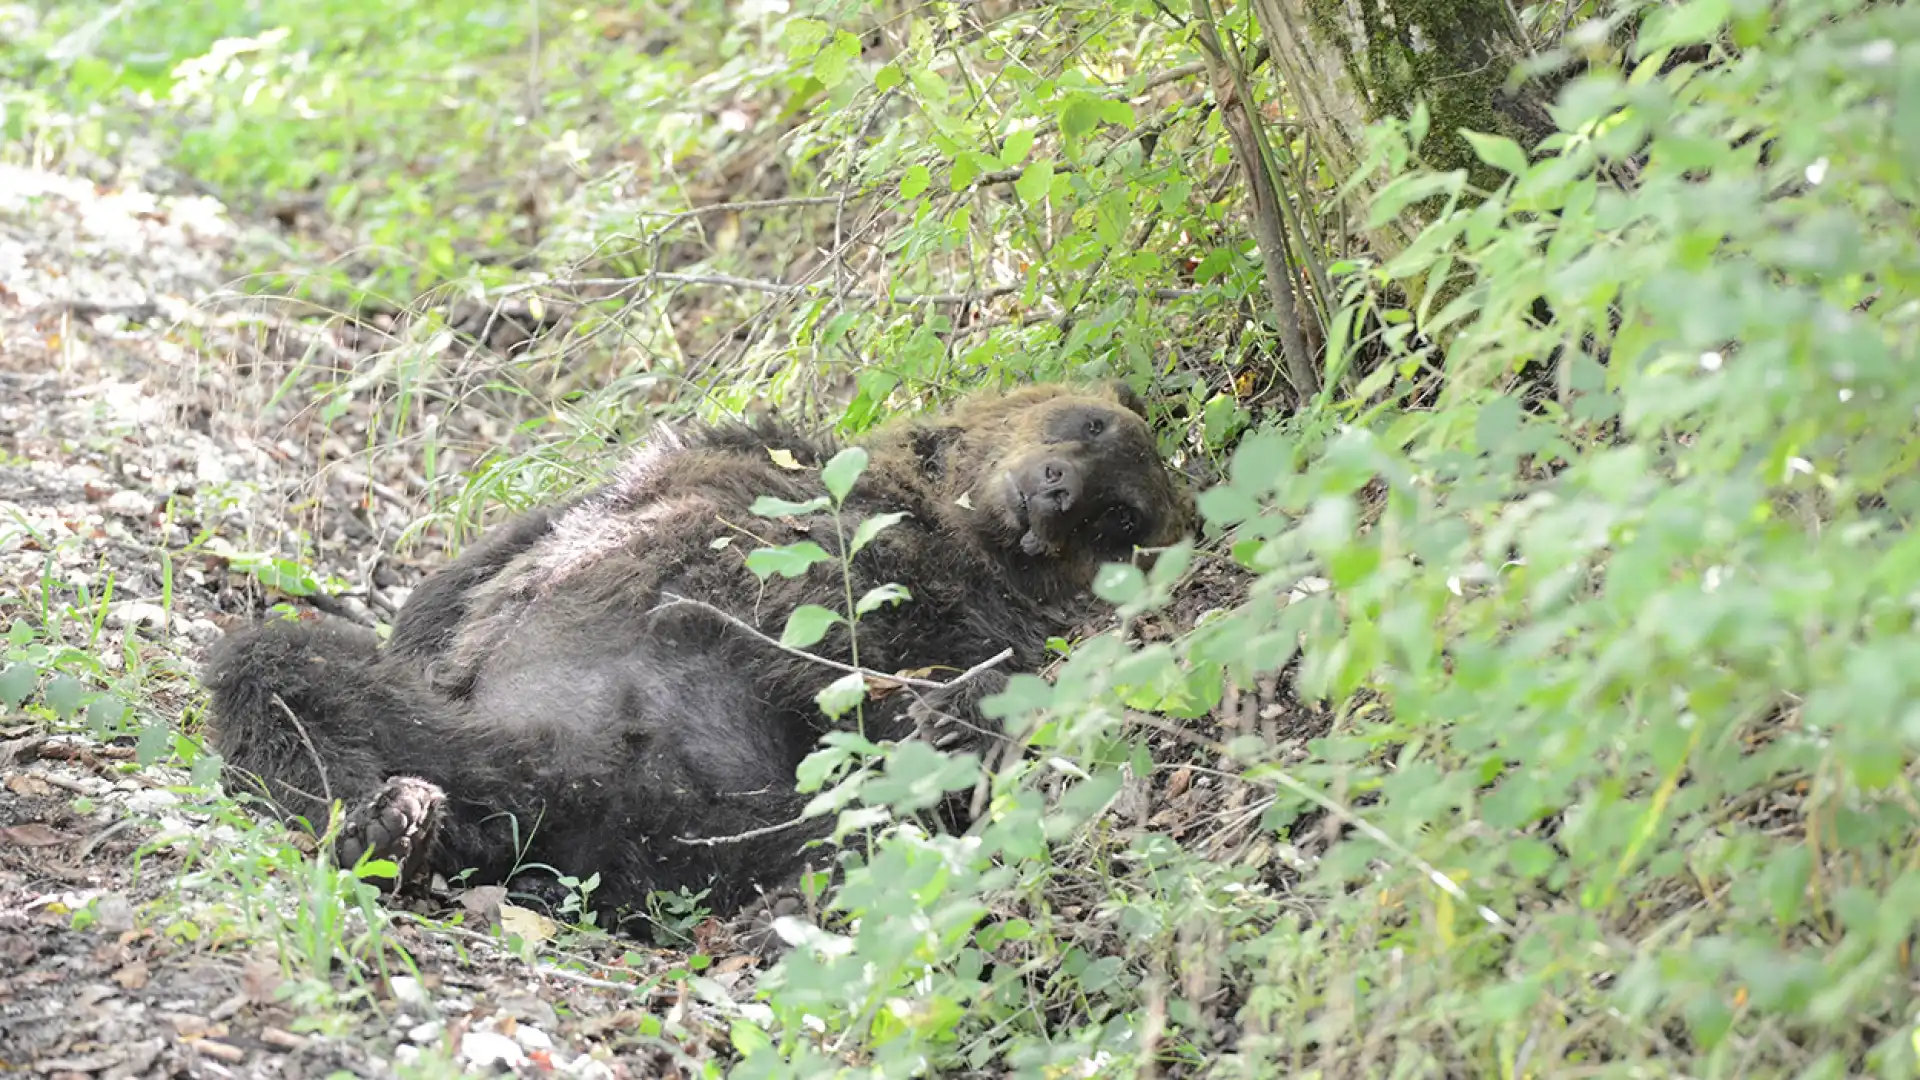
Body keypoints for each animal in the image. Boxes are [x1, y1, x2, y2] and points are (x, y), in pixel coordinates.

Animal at [206, 380, 1198, 933]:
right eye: (1090, 426)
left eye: (1121, 517)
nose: (1058, 492)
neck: (941, 517)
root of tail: (595, 787)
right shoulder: (735, 456)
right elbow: (487, 565)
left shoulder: (974, 616)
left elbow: (951, 687)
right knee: (282, 666)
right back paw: (390, 821)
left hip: (707, 824)